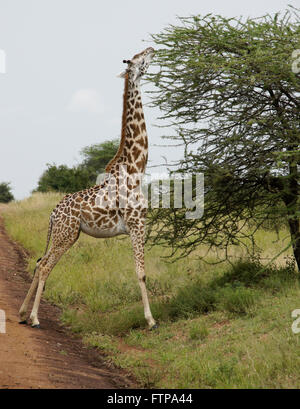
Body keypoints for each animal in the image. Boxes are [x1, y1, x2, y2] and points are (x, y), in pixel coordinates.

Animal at [19, 47, 157, 328]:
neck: (136, 167)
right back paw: (35, 318)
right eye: (138, 58)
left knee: (39, 263)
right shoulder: (137, 224)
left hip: (65, 234)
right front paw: (151, 320)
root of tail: (52, 214)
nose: (152, 49)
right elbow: (141, 273)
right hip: (66, 234)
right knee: (46, 266)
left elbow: (140, 271)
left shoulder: (137, 227)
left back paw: (22, 313)